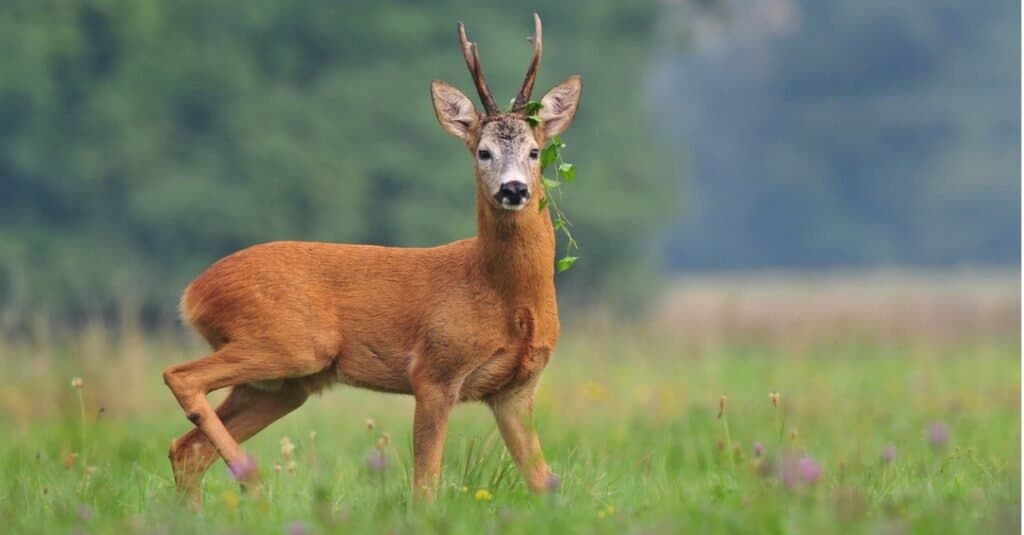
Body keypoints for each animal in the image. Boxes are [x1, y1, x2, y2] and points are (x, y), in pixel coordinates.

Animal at [165, 14, 585, 502]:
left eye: (535, 151)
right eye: (484, 152)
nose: (513, 189)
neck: (504, 296)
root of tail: (193, 293)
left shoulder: (515, 391)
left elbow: (543, 482)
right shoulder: (434, 371)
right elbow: (425, 484)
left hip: (282, 383)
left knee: (187, 449)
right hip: (291, 342)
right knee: (180, 378)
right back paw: (253, 478)